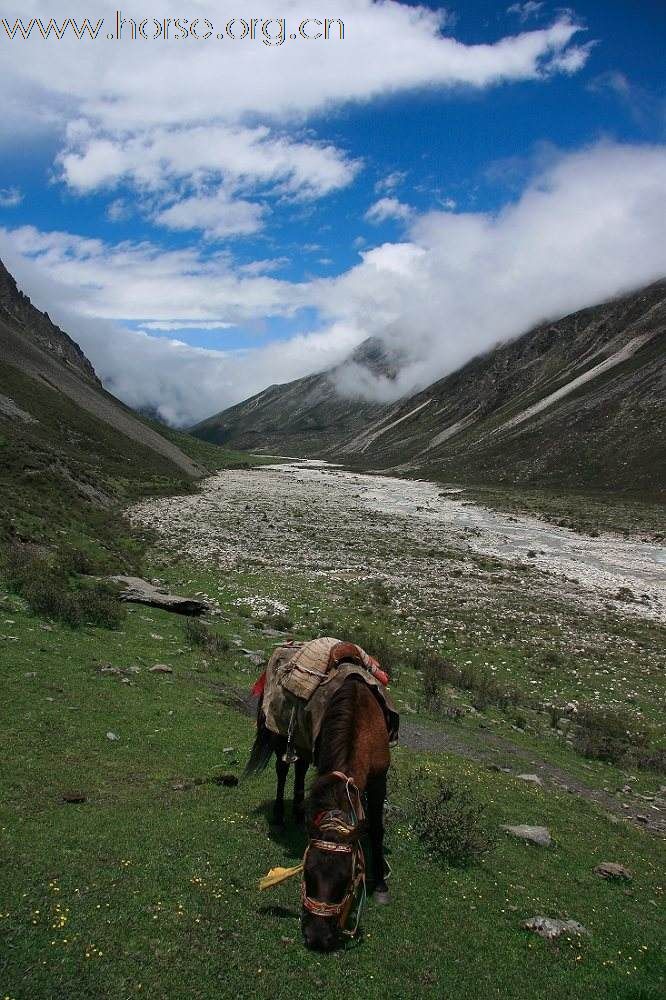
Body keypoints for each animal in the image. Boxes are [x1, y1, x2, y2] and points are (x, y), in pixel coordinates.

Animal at [244, 668, 390, 948]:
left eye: (346, 879)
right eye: (307, 872)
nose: (317, 937)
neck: (363, 724)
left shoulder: (379, 779)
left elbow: (376, 828)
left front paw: (381, 885)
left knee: (300, 768)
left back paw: (299, 813)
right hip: (282, 737)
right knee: (283, 770)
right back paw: (280, 817)